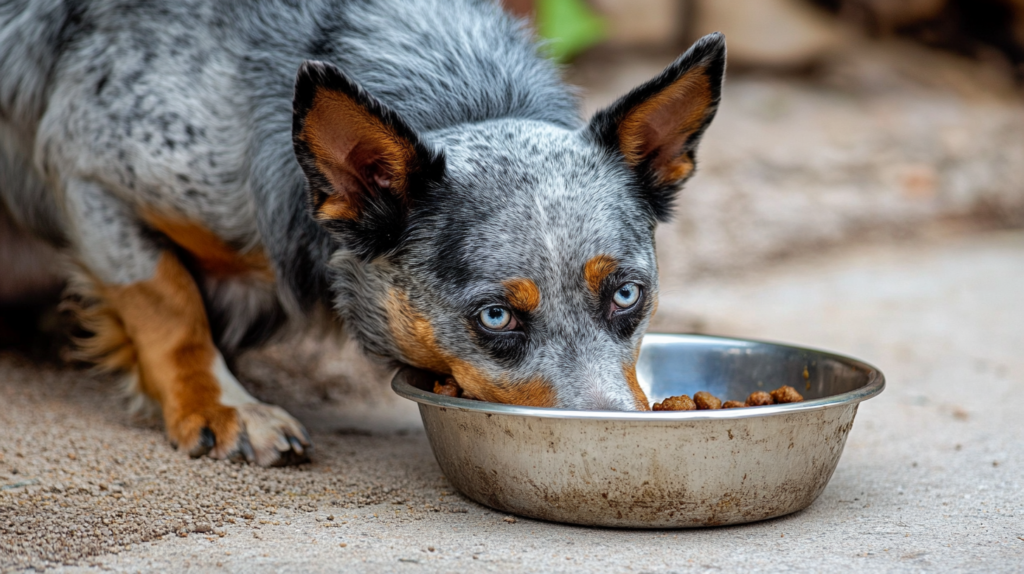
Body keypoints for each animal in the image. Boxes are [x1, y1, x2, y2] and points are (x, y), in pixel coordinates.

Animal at [0, 0, 724, 466]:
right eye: (495, 317)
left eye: (626, 296)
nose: (617, 434)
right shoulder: (84, 170)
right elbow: (169, 302)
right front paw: (226, 408)